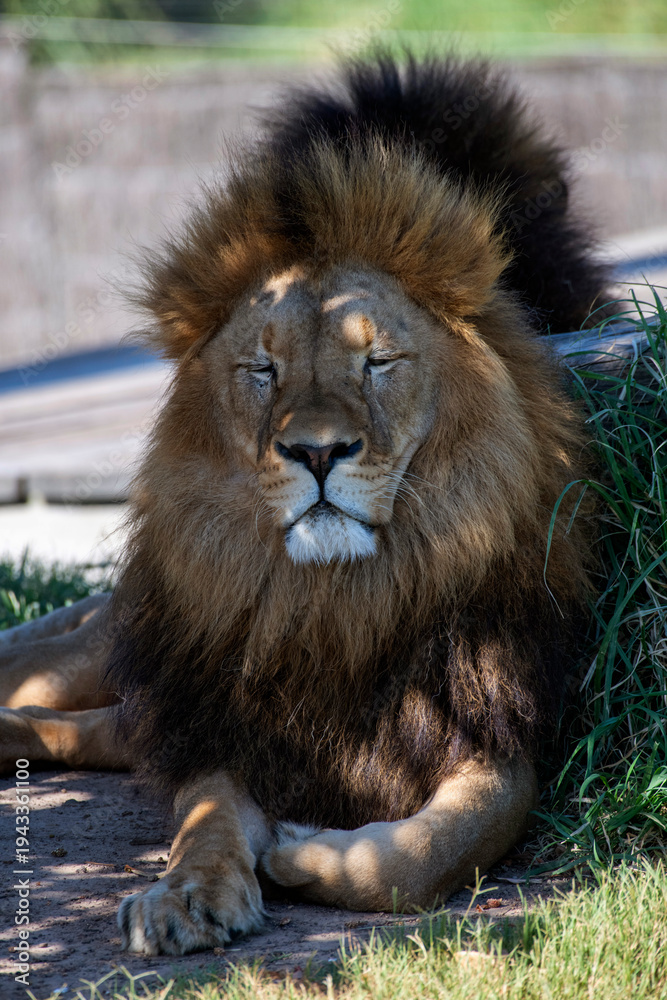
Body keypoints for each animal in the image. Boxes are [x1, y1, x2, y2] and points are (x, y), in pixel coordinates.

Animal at [1, 53, 610, 956]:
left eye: (377, 362)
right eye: (264, 372)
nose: (317, 452)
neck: (332, 601)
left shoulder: (489, 730)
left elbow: (428, 852)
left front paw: (298, 852)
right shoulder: (226, 727)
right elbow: (206, 822)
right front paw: (186, 895)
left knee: (88, 731)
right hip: (116, 656)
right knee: (49, 696)